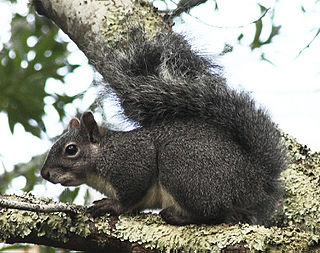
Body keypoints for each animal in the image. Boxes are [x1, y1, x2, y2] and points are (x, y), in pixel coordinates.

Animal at [40, 27, 288, 225]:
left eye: (71, 149)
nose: (44, 173)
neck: (104, 154)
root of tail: (257, 181)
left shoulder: (132, 163)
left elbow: (129, 196)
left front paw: (112, 205)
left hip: (184, 169)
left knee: (213, 212)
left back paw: (178, 216)